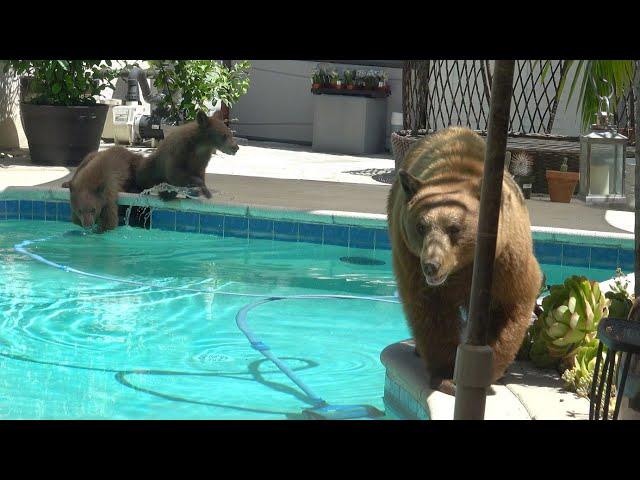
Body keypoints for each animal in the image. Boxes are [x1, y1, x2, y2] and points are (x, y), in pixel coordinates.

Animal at [388, 126, 544, 394]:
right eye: (420, 226)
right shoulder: (410, 258)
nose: (431, 265)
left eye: (454, 228)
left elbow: (510, 302)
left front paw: (489, 372)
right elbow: (431, 311)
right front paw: (446, 375)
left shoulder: (505, 257)